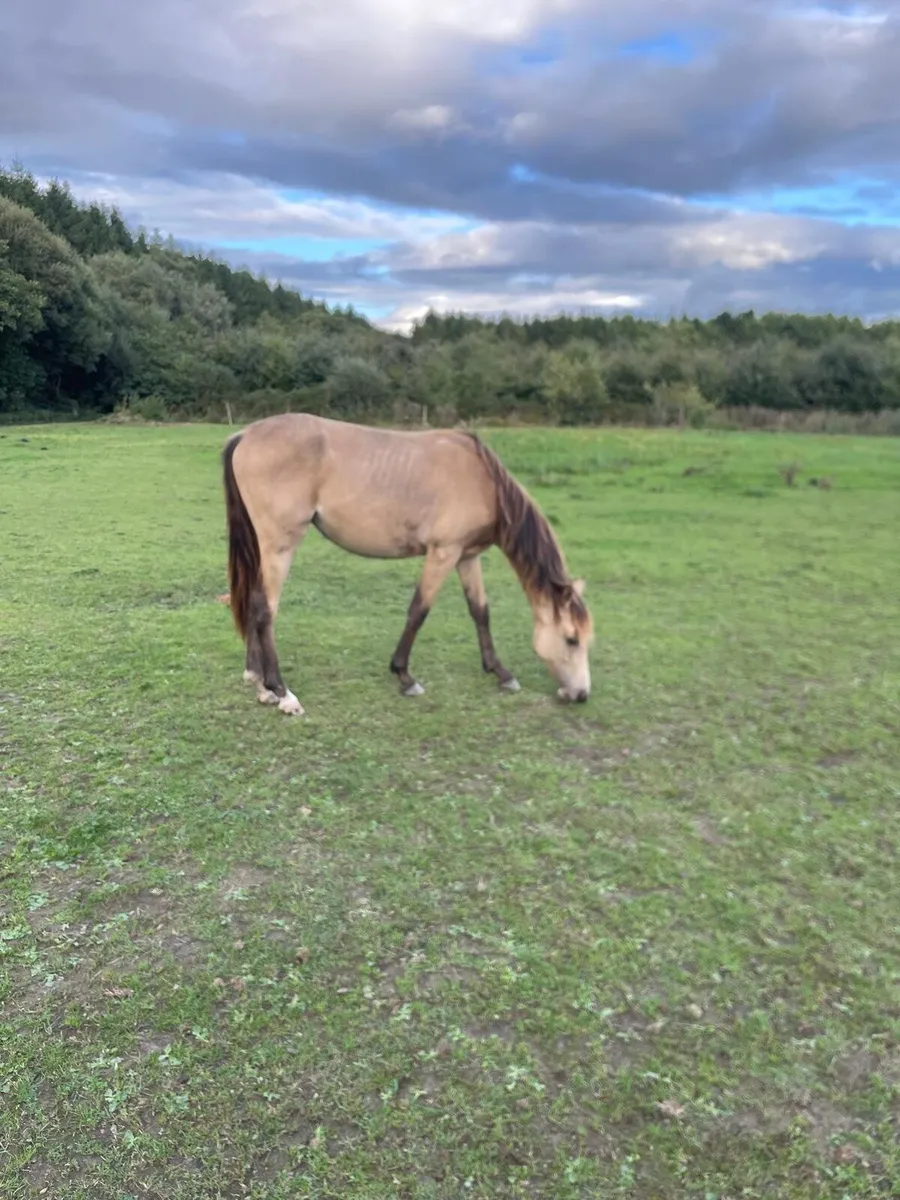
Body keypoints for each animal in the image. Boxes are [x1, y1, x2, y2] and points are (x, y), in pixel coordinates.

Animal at [222, 413, 594, 716]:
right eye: (571, 639)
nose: (581, 695)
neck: (482, 479)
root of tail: (246, 434)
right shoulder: (443, 552)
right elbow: (419, 610)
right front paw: (404, 676)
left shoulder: (467, 556)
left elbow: (480, 611)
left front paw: (500, 672)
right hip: (280, 544)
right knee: (265, 609)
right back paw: (282, 692)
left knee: (252, 601)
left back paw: (259, 682)